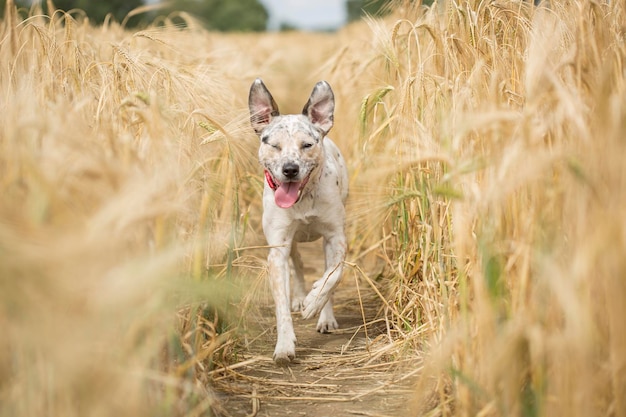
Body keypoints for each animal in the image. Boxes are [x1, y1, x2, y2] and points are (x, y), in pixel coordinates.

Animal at [247, 79, 346, 364]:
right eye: (274, 145)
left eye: (307, 145)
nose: (290, 169)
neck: (303, 199)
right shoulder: (278, 248)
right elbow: (281, 302)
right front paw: (284, 345)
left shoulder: (336, 237)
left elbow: (333, 275)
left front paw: (315, 303)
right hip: (290, 244)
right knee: (298, 264)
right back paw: (301, 298)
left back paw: (324, 316)